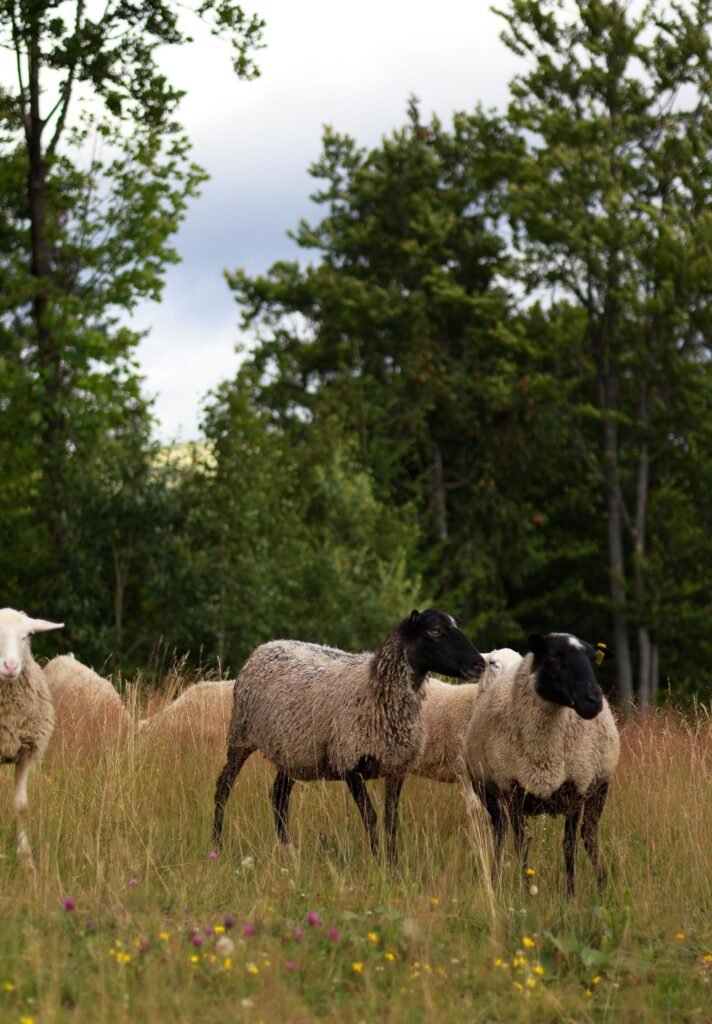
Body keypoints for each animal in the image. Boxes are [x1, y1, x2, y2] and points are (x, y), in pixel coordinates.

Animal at [213, 609, 485, 864]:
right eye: (435, 631)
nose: (479, 665)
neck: (375, 688)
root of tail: (266, 646)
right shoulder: (349, 764)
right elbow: (370, 817)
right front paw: (377, 863)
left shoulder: (397, 767)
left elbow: (391, 821)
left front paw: (393, 865)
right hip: (240, 735)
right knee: (224, 787)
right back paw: (217, 845)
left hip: (294, 752)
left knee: (279, 796)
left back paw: (287, 852)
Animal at [463, 632, 619, 897]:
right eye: (554, 656)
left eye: (592, 660)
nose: (594, 701)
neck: (544, 753)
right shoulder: (513, 791)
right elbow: (521, 844)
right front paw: (526, 894)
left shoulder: (576, 789)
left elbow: (569, 846)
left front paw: (570, 896)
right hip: (488, 791)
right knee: (500, 833)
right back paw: (494, 880)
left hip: (600, 787)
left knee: (589, 834)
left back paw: (603, 884)